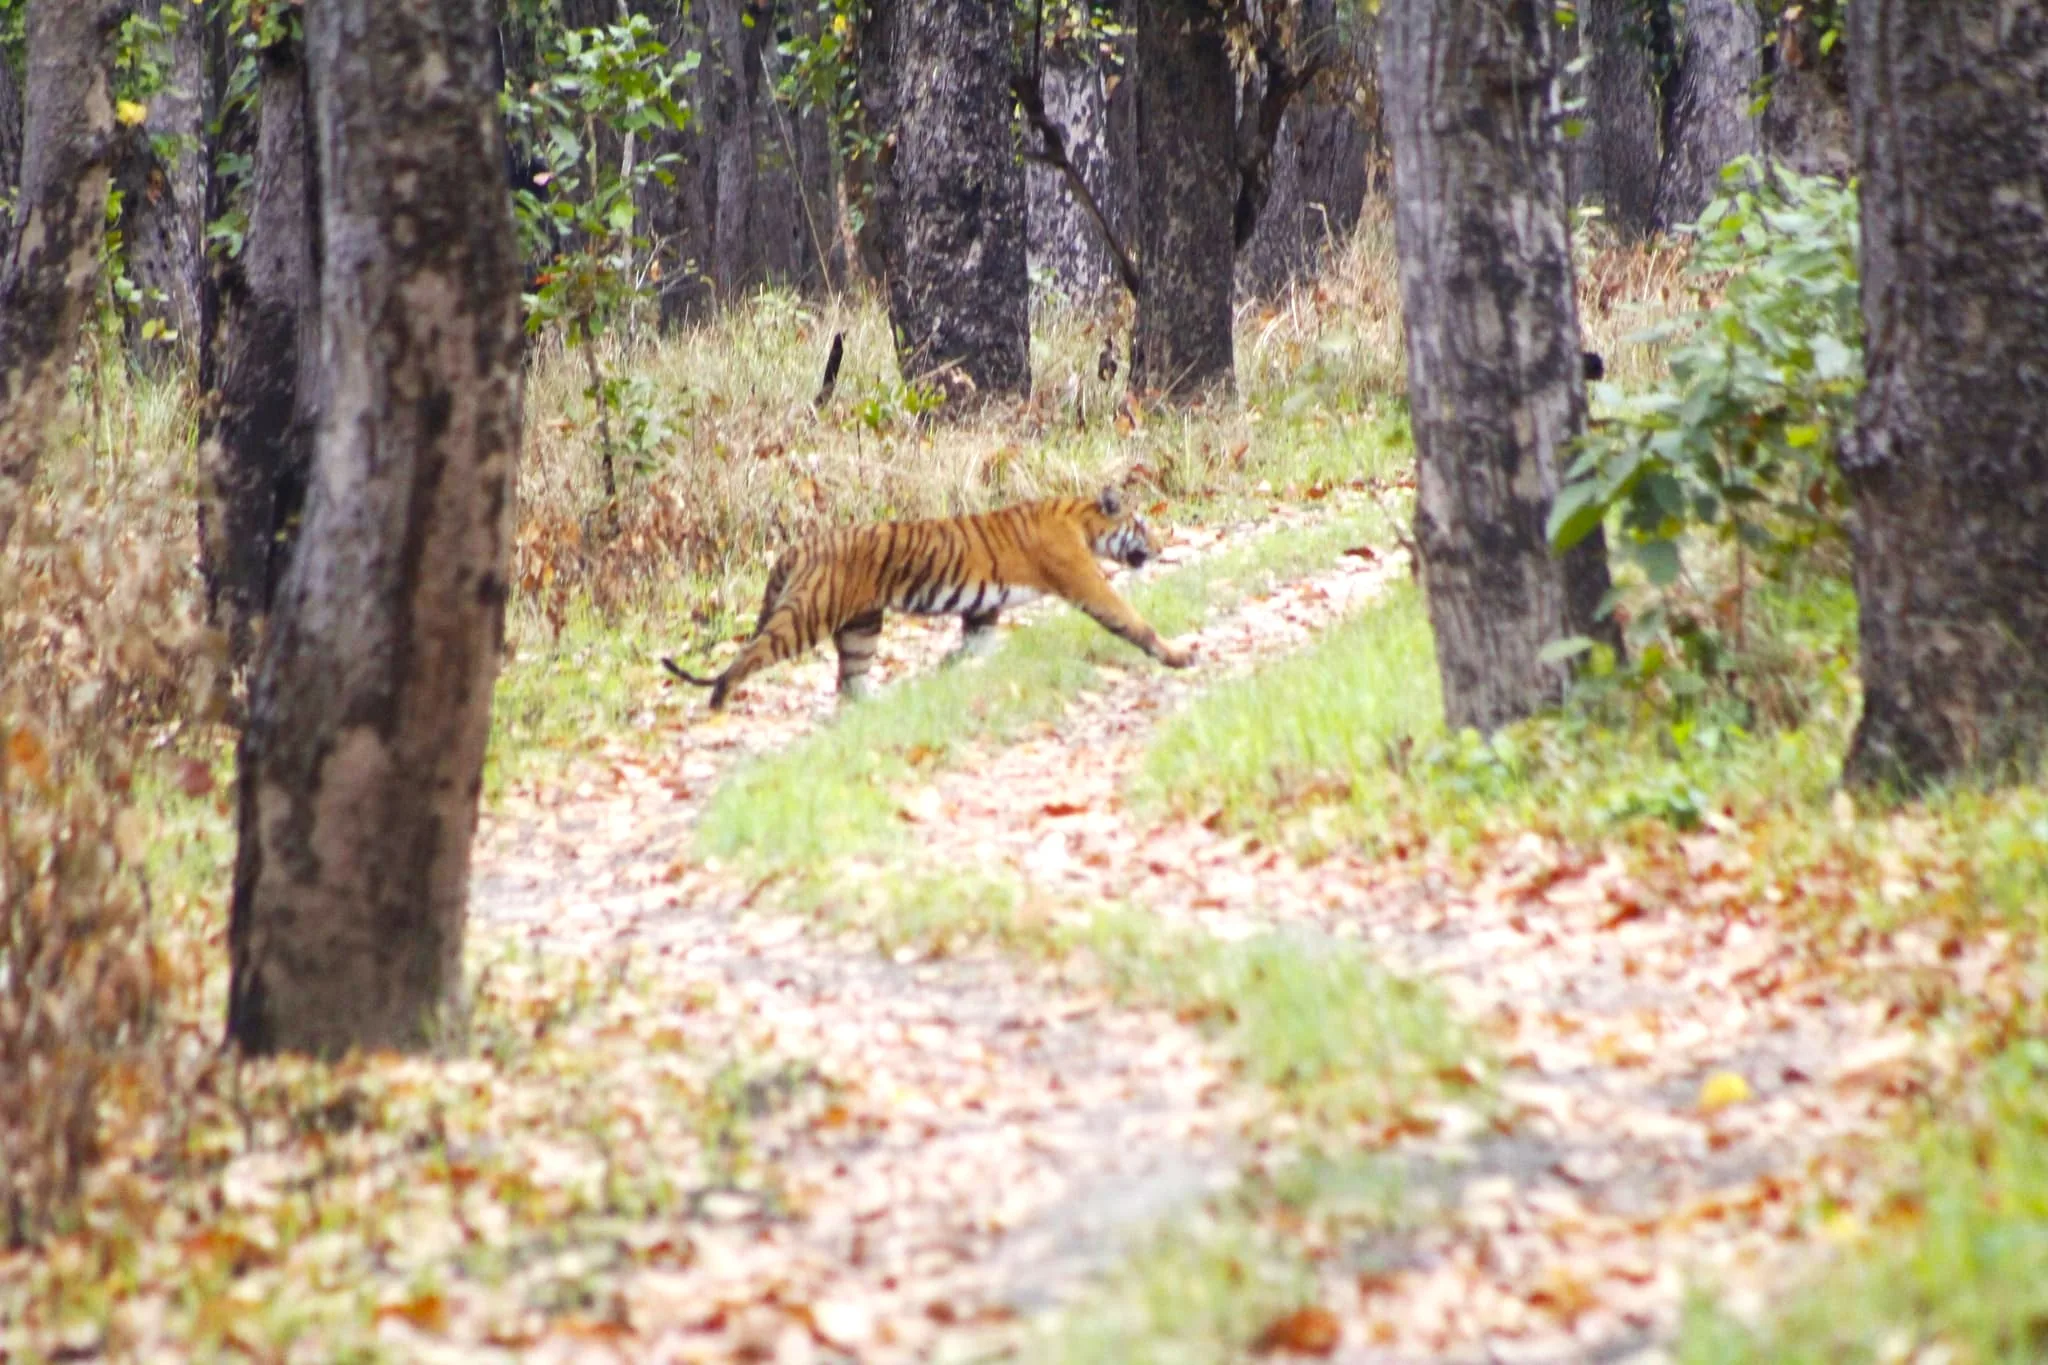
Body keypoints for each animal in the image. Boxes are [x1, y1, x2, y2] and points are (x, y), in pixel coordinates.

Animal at [662, 487, 1194, 710]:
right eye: (1141, 524)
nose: (1161, 546)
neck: (1082, 519)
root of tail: (800, 546)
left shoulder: (984, 609)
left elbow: (972, 647)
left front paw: (940, 675)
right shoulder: (1086, 583)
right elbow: (1133, 621)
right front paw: (1179, 657)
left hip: (862, 625)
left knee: (849, 682)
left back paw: (884, 704)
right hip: (809, 614)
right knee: (749, 655)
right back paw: (718, 704)